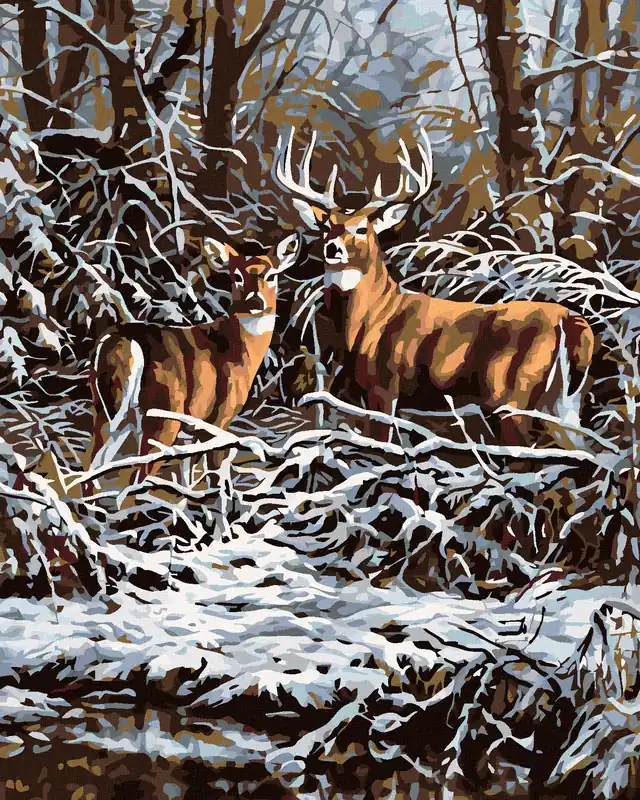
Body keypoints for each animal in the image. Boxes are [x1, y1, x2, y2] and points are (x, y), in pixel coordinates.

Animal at [86, 230, 302, 488]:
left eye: (271, 275)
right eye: (237, 276)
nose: (255, 302)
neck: (238, 350)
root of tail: (122, 340)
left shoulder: (195, 427)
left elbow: (188, 473)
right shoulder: (220, 417)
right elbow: (214, 473)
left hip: (108, 410)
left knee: (92, 468)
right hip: (163, 412)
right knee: (138, 474)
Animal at [275, 127, 595, 447]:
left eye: (362, 228)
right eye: (326, 226)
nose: (333, 248)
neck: (371, 318)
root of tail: (571, 321)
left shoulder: (384, 385)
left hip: (511, 391)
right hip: (563, 401)